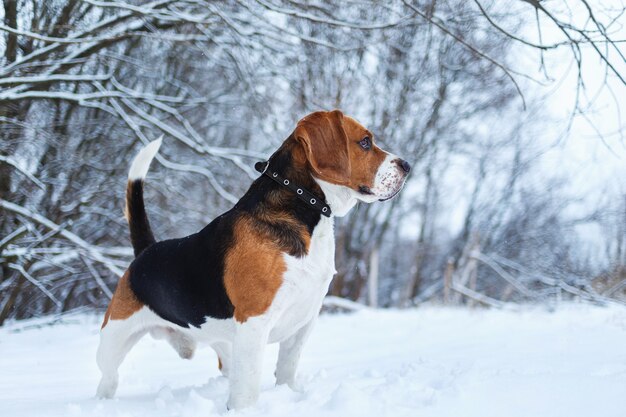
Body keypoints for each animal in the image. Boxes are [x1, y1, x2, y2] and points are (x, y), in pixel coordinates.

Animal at [96, 109, 410, 408]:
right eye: (365, 142)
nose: (407, 166)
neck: (302, 204)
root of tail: (146, 250)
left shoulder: (303, 321)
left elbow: (287, 369)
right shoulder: (254, 322)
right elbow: (247, 387)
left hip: (224, 345)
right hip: (112, 342)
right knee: (109, 379)